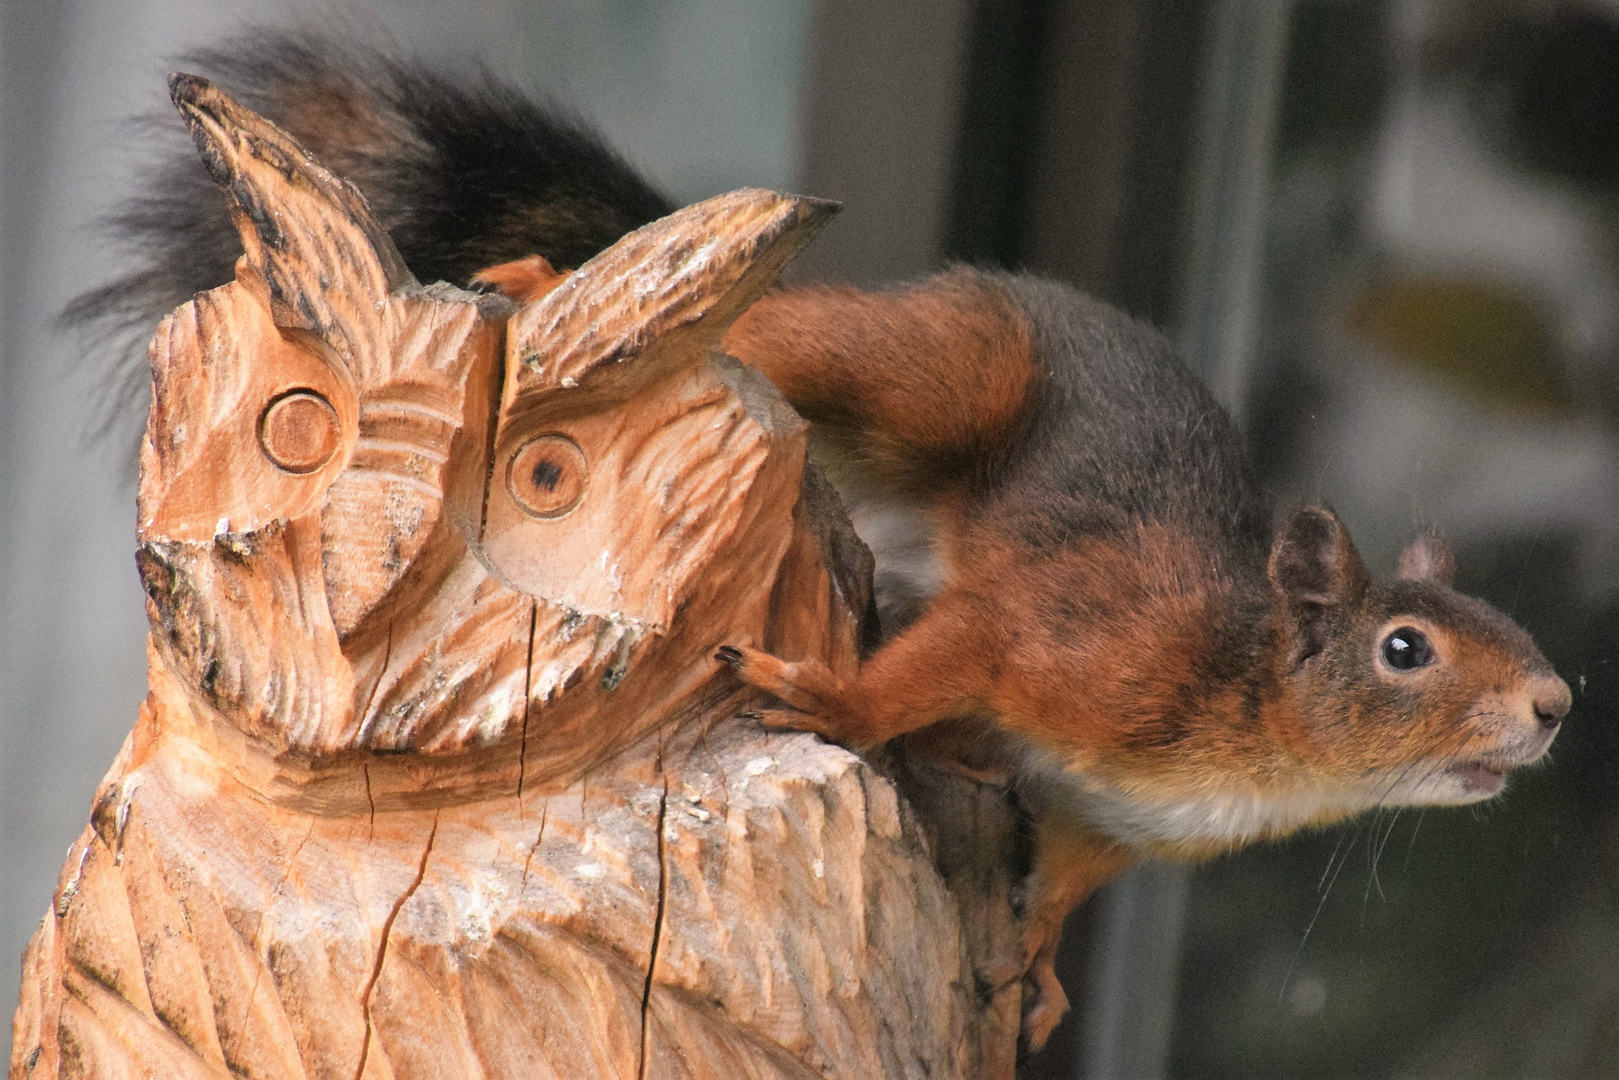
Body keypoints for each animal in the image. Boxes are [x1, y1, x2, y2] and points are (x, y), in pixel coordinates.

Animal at [82, 33, 1573, 1055]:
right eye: (1404, 648)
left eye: (1512, 634)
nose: (1556, 706)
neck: (1249, 739)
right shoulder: (1065, 636)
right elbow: (939, 659)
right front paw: (835, 704)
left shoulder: (1110, 821)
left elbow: (1059, 883)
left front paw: (1034, 970)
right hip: (935, 372)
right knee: (789, 337)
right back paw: (545, 282)